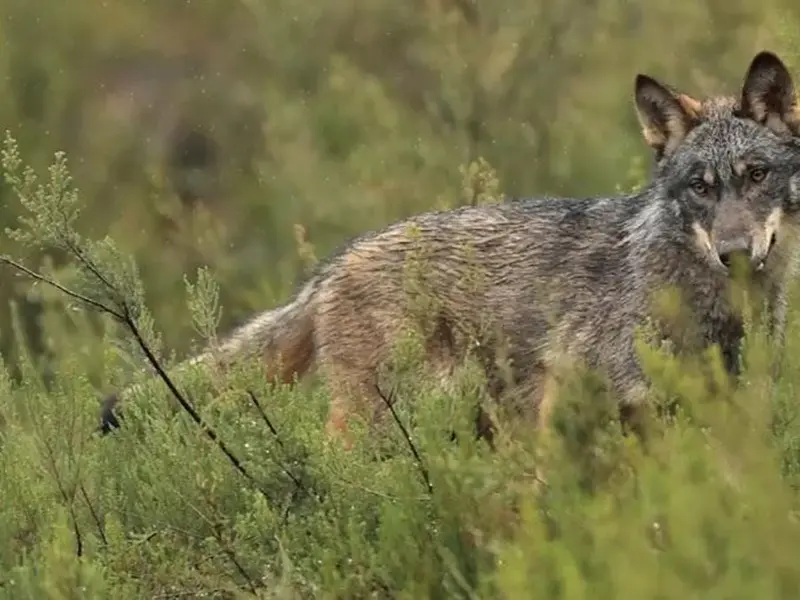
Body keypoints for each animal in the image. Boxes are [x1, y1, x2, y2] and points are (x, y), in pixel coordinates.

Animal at [99, 51, 800, 448]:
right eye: (700, 186)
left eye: (756, 176)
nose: (736, 253)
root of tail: (330, 267)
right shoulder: (604, 400)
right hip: (383, 418)